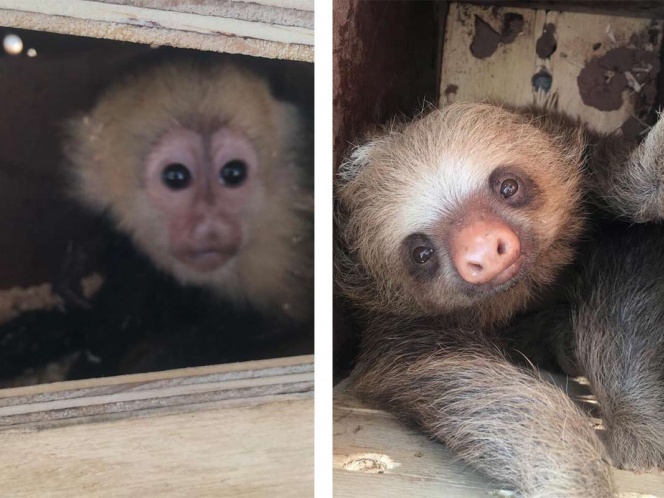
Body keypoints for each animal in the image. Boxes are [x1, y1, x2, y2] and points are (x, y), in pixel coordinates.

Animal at [334, 102, 664, 498]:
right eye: (420, 253)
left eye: (509, 186)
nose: (480, 245)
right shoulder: (396, 324)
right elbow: (456, 375)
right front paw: (574, 480)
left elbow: (628, 286)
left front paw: (636, 426)